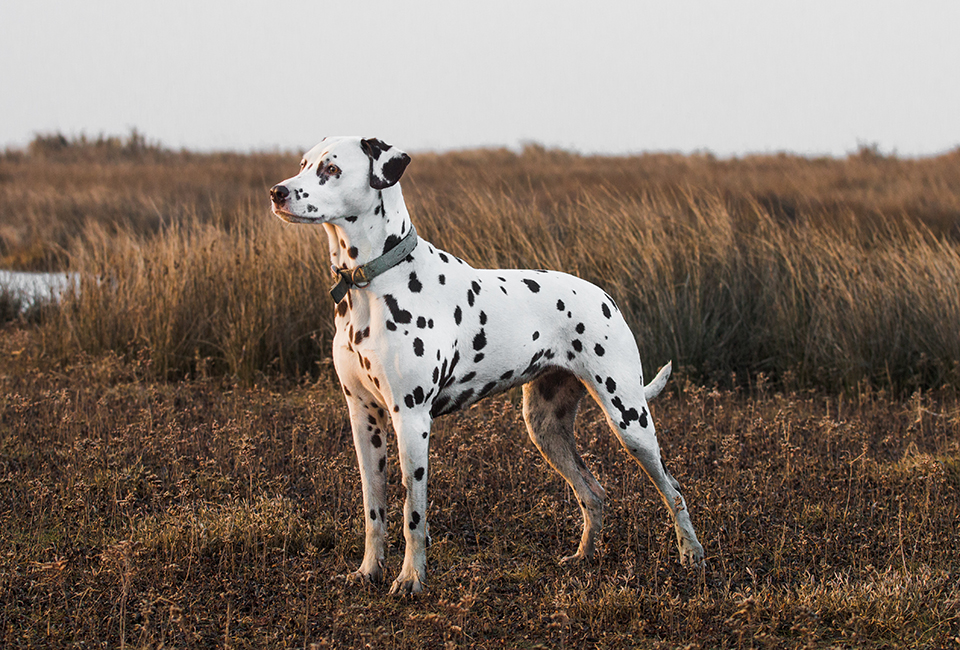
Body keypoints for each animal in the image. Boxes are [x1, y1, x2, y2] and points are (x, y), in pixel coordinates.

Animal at [270, 137, 704, 592]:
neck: (372, 281)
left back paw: (692, 555)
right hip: (545, 428)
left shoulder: (411, 418)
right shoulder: (363, 417)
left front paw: (411, 579)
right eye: (303, 164)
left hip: (630, 420)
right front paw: (369, 570)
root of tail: (606, 298)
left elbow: (413, 515)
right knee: (593, 492)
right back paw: (584, 556)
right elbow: (375, 510)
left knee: (673, 488)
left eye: (332, 169)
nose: (277, 192)